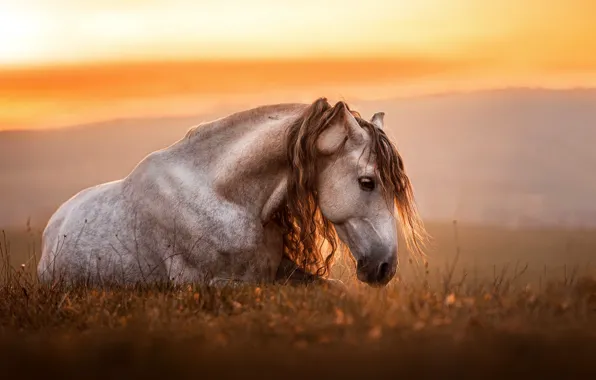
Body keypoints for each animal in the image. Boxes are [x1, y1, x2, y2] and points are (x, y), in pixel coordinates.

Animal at [37, 98, 426, 288]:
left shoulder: (285, 271)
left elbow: (336, 290)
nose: (385, 267)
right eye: (367, 182)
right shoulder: (204, 286)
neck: (226, 198)